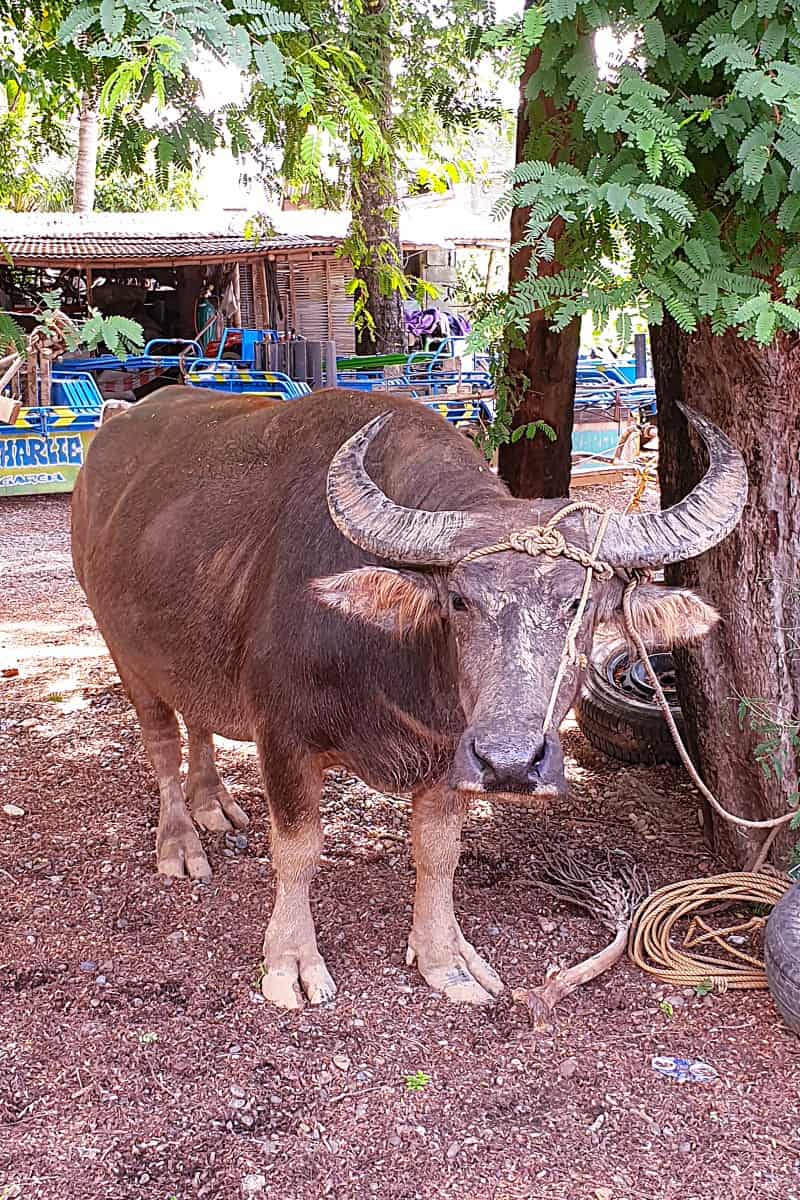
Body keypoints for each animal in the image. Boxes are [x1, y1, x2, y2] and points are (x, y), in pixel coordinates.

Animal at [71, 388, 748, 1008]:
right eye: (459, 600)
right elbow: (297, 850)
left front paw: (444, 957)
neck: (394, 661)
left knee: (199, 717)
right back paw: (181, 842)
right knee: (161, 741)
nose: (511, 763)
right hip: (121, 648)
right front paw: (291, 961)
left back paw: (213, 802)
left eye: (583, 605)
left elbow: (439, 853)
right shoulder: (283, 737)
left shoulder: (453, 754)